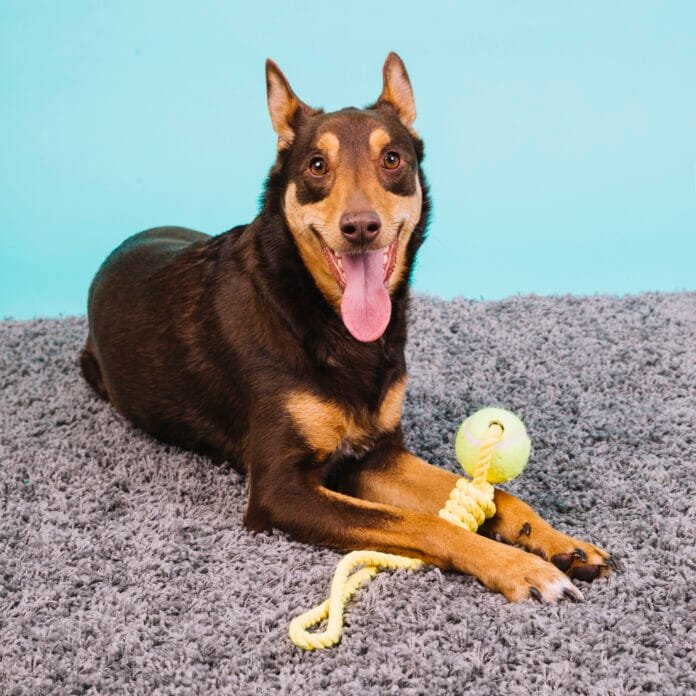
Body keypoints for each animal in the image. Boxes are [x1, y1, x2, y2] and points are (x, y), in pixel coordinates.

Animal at [81, 53, 612, 604]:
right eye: (317, 165)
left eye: (393, 159)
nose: (360, 227)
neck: (324, 320)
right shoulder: (279, 490)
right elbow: (425, 523)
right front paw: (519, 566)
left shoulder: (376, 456)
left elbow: (498, 496)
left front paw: (559, 543)